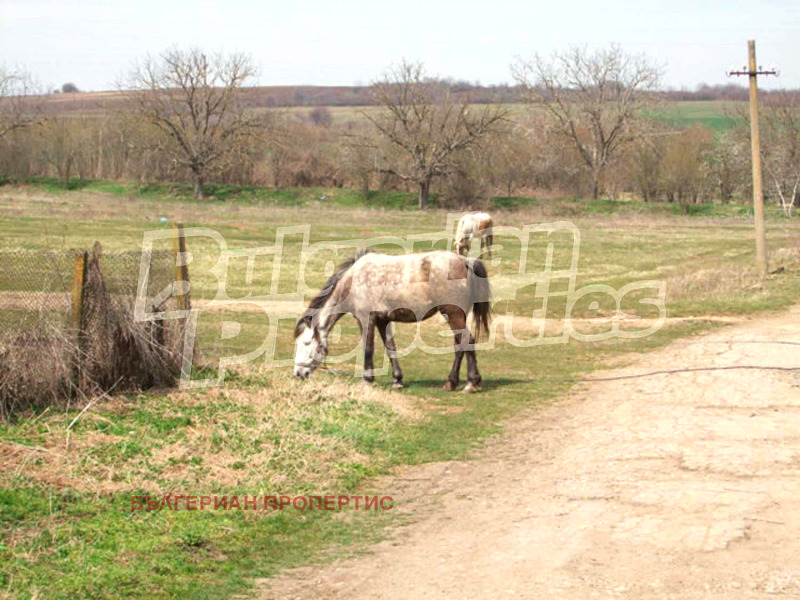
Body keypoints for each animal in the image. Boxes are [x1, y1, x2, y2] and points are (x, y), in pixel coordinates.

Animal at [296, 251, 490, 392]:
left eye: (306, 343)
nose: (298, 373)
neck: (353, 281)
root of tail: (465, 261)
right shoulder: (383, 321)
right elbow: (391, 349)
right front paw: (398, 380)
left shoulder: (366, 319)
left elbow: (368, 349)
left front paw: (367, 380)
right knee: (460, 345)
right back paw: (451, 382)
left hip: (453, 314)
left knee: (467, 341)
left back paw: (471, 383)